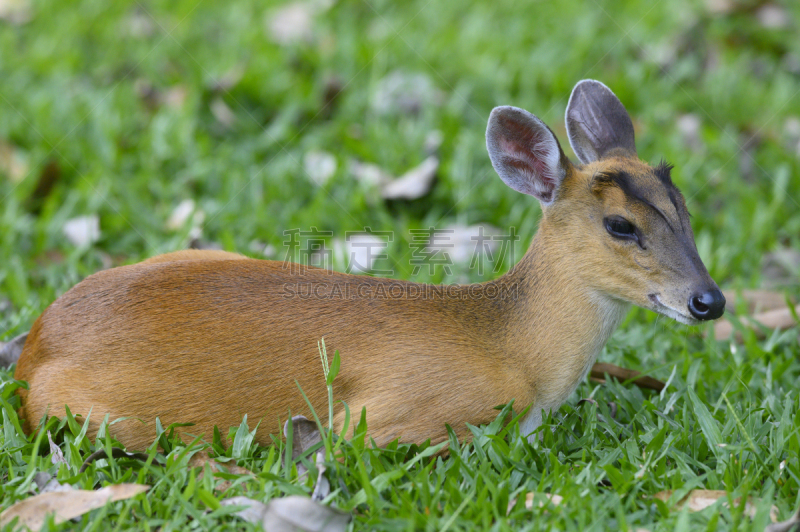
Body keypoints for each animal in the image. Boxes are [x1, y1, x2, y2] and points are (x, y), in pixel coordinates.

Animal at [10, 81, 724, 450]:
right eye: (621, 225)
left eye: (685, 207)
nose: (709, 301)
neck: (516, 352)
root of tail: (30, 354)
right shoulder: (391, 419)